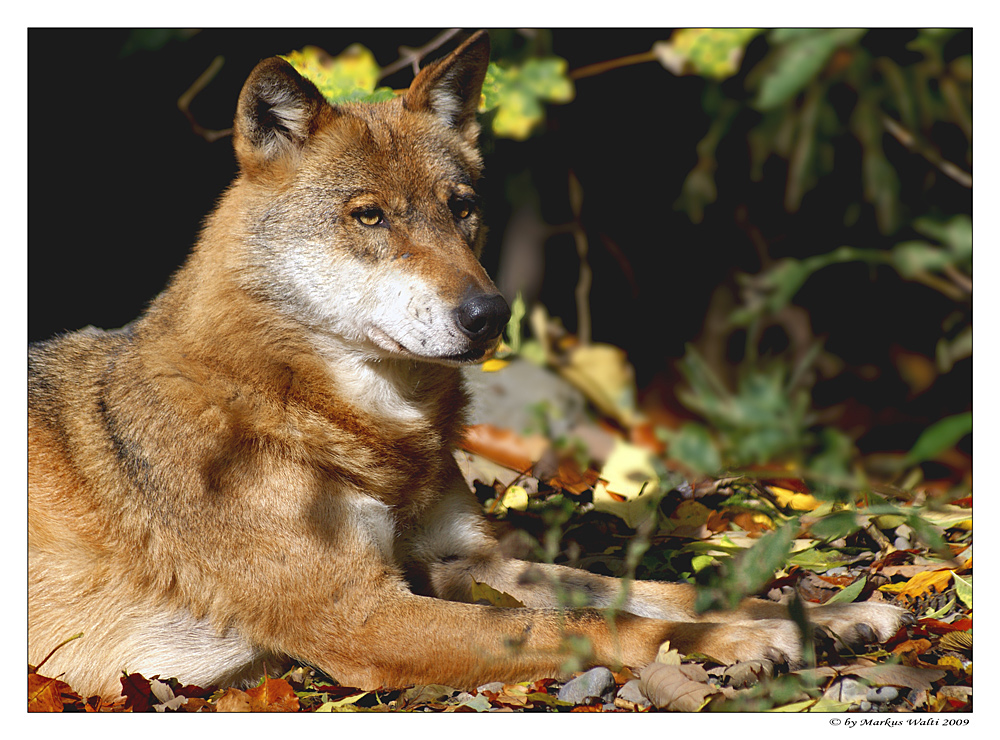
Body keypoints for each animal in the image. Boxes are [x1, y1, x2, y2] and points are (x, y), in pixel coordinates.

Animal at [27, 31, 912, 704]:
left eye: (462, 210)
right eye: (370, 218)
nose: (491, 315)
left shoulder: (465, 563)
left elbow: (661, 590)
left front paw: (820, 615)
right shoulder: (361, 617)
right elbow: (611, 622)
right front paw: (749, 640)